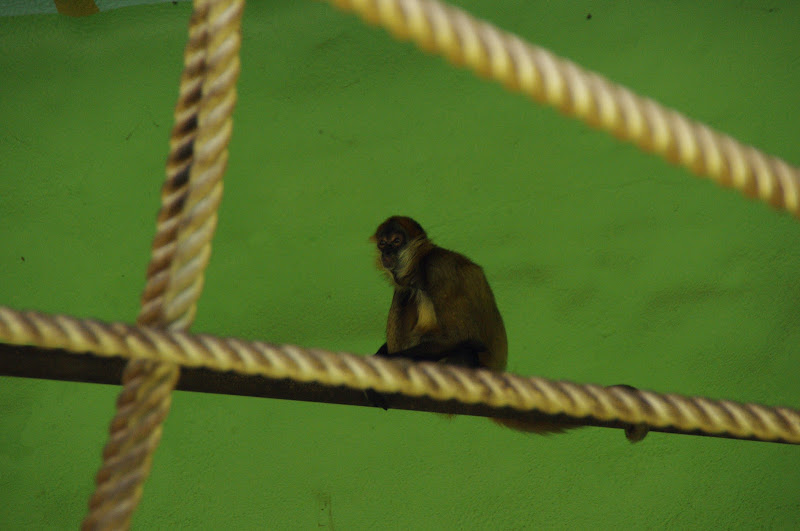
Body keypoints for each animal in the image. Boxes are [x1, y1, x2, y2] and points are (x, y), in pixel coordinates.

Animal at [369, 216, 648, 441]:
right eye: (383, 244)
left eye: (396, 241)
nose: (388, 253)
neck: (420, 265)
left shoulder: (439, 268)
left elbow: (462, 337)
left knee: (461, 348)